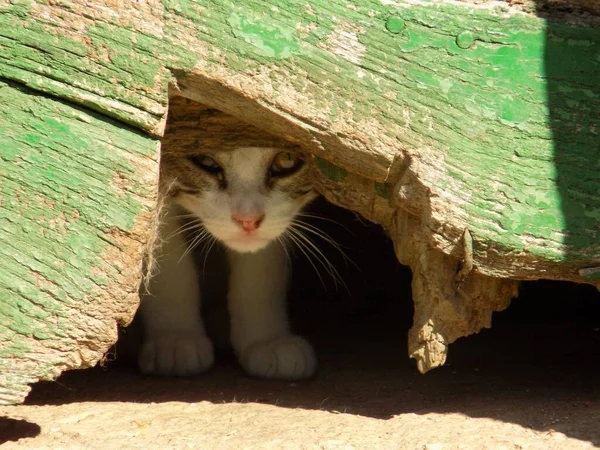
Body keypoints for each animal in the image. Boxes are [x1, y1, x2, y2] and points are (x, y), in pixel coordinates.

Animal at [139, 145, 318, 380]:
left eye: (287, 158)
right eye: (205, 159)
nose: (248, 220)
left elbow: (262, 268)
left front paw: (267, 339)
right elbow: (166, 262)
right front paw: (174, 338)